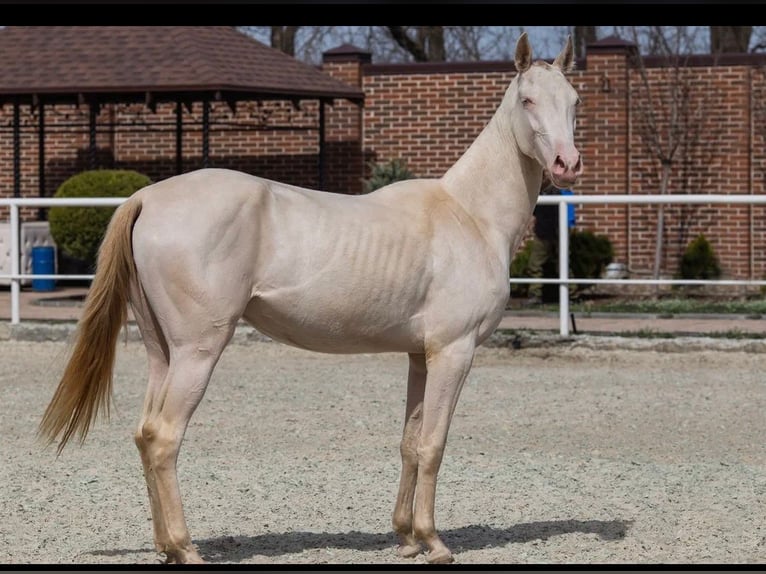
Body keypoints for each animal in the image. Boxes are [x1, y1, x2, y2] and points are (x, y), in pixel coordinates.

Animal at [39, 33, 584, 568]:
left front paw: (406, 537)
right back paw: (185, 547)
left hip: (162, 353)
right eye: (527, 100)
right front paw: (434, 543)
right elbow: (433, 444)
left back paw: (165, 548)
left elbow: (410, 443)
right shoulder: (454, 351)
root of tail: (148, 197)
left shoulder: (419, 356)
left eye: (574, 101)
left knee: (143, 433)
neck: (468, 214)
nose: (567, 164)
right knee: (163, 436)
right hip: (197, 352)